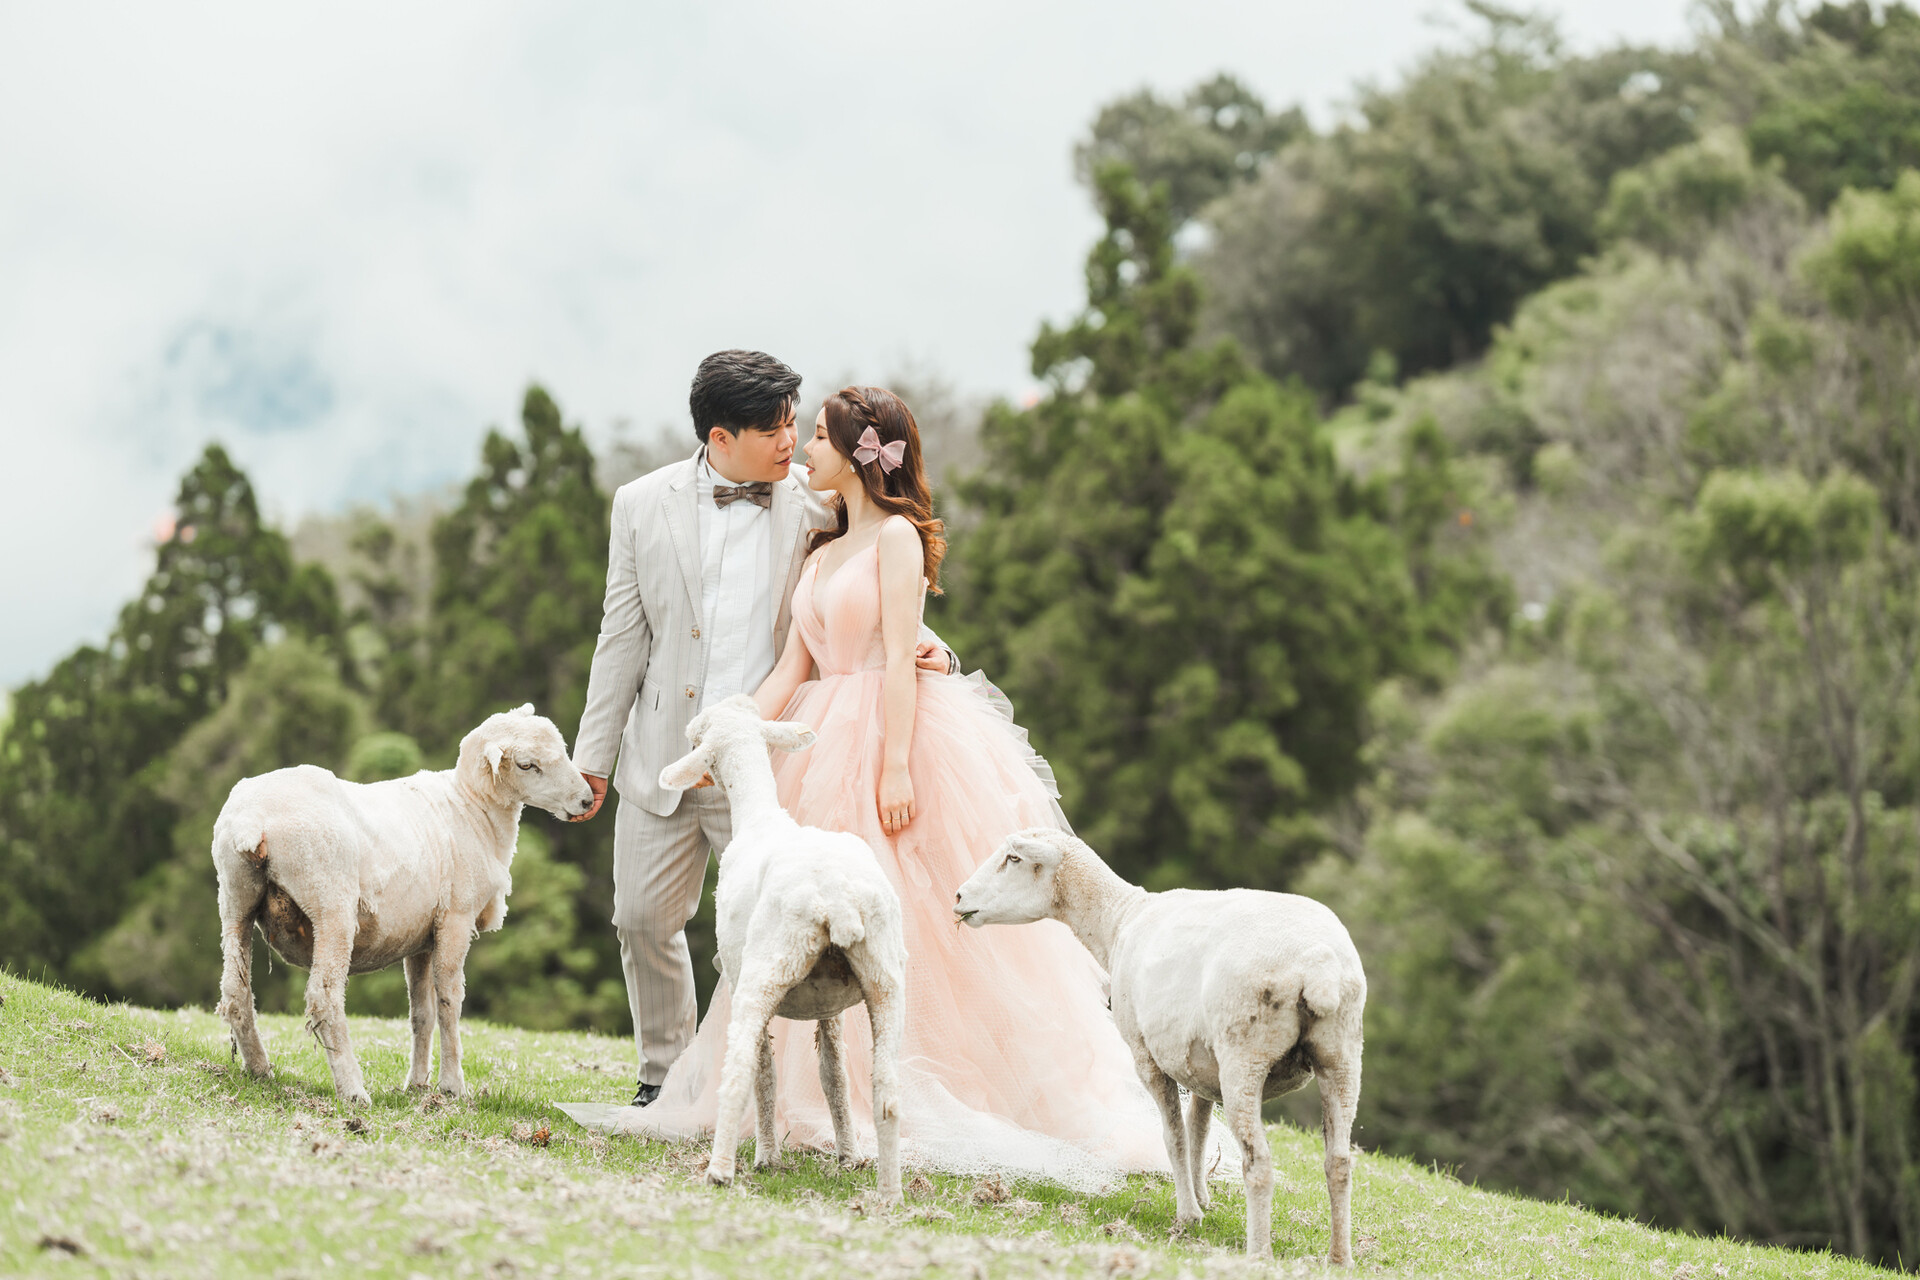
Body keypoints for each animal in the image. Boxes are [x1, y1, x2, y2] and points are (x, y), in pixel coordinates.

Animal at [211, 704, 595, 1106]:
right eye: (526, 765)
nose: (586, 800)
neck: (473, 809)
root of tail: (252, 821)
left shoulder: (421, 936)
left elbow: (421, 1013)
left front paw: (417, 1084)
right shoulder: (455, 918)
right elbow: (449, 1002)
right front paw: (452, 1086)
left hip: (235, 900)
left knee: (236, 992)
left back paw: (259, 1070)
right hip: (331, 903)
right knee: (323, 998)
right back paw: (352, 1089)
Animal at [657, 694, 907, 1204]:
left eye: (697, 736)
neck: (760, 816)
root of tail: (837, 898)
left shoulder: (740, 979)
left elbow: (765, 1073)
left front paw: (768, 1158)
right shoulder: (831, 1006)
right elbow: (833, 1074)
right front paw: (846, 1155)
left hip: (766, 967)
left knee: (737, 1073)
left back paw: (719, 1171)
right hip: (885, 974)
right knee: (886, 1091)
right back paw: (890, 1194)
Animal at [953, 827, 1366, 1265]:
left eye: (1013, 859)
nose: (959, 897)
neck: (1119, 919)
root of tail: (1318, 965)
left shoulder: (1145, 1055)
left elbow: (1174, 1137)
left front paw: (1188, 1216)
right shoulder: (1202, 1068)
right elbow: (1199, 1130)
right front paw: (1202, 1199)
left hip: (1245, 1055)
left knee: (1259, 1162)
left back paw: (1259, 1255)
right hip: (1341, 1055)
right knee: (1339, 1162)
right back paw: (1339, 1258)